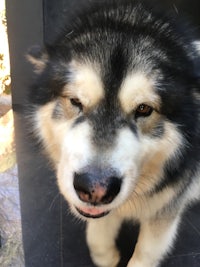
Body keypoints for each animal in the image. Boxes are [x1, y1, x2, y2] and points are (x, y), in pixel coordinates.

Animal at [27, 0, 200, 267]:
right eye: (75, 101)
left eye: (144, 109)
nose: (94, 190)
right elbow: (97, 237)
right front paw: (107, 255)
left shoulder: (165, 209)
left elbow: (145, 253)